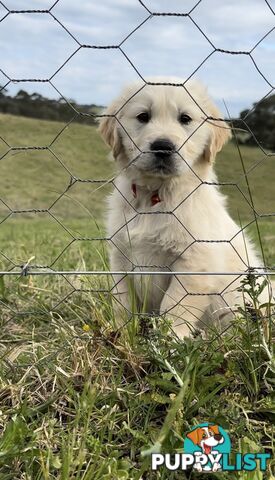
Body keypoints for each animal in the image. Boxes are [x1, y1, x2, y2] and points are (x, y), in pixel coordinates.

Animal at [100, 77, 270, 338]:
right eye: (143, 116)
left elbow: (175, 306)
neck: (156, 195)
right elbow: (123, 301)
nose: (163, 146)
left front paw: (169, 339)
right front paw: (121, 333)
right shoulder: (120, 256)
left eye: (185, 119)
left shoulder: (195, 262)